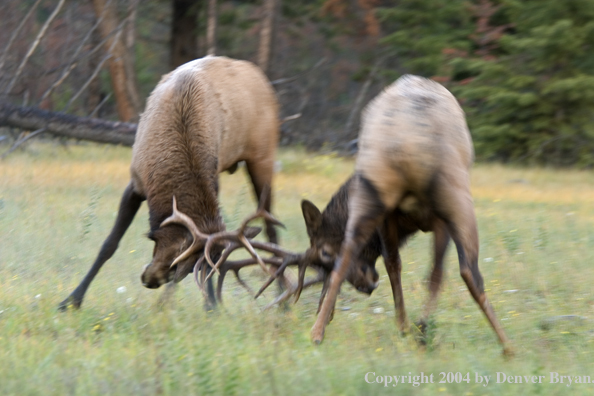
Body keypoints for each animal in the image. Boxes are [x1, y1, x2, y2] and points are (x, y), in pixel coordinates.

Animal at [59, 56, 280, 310]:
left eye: (189, 269)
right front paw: (71, 300)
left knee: (271, 228)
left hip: (262, 158)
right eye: (179, 264)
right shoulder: (136, 183)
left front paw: (208, 305)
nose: (151, 281)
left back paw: (282, 300)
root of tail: (264, 80)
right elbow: (109, 244)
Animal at [302, 75, 512, 356]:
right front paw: (415, 327)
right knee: (470, 272)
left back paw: (317, 332)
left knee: (345, 258)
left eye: (323, 253)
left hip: (373, 192)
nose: (368, 286)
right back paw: (507, 345)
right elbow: (430, 273)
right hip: (455, 197)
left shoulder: (393, 219)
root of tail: (405, 138)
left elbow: (400, 265)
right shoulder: (437, 222)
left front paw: (407, 327)